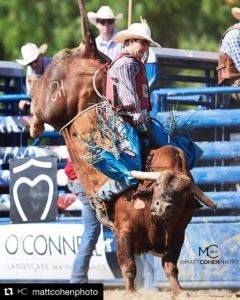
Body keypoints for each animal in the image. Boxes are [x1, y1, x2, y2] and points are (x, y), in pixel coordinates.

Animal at [28, 0, 216, 296]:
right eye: (158, 187)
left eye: (181, 194)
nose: (162, 206)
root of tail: (90, 50)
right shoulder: (123, 232)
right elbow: (128, 266)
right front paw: (131, 291)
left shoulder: (178, 235)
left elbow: (170, 267)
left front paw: (179, 291)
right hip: (51, 96)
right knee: (38, 100)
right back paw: (34, 124)